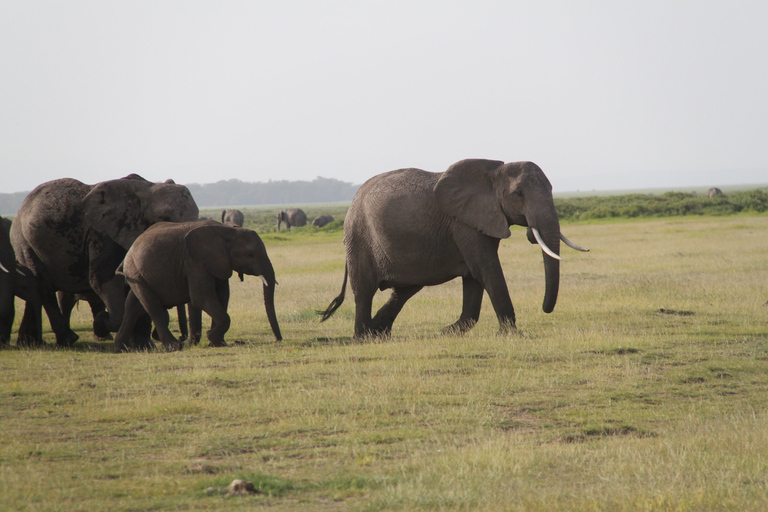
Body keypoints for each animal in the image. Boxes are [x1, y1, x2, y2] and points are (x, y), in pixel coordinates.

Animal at [10, 175, 200, 348]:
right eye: (165, 218)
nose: (184, 339)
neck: (146, 189)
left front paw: (144, 346)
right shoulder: (102, 236)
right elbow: (102, 279)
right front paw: (102, 322)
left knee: (36, 289)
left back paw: (30, 342)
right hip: (24, 241)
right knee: (44, 286)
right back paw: (68, 340)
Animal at [114, 220, 282, 352]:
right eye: (250, 255)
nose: (279, 340)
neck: (227, 230)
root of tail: (129, 250)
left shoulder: (218, 262)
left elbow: (222, 297)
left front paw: (217, 343)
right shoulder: (195, 261)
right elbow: (201, 298)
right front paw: (211, 336)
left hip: (137, 274)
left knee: (133, 308)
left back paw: (121, 349)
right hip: (135, 271)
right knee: (153, 308)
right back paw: (174, 346)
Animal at [320, 158, 592, 338]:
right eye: (519, 194)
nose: (545, 309)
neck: (493, 172)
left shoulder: (478, 220)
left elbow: (474, 275)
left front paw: (447, 332)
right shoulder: (464, 222)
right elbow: (486, 268)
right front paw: (512, 335)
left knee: (405, 289)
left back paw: (379, 332)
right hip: (358, 237)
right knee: (364, 290)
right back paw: (363, 336)